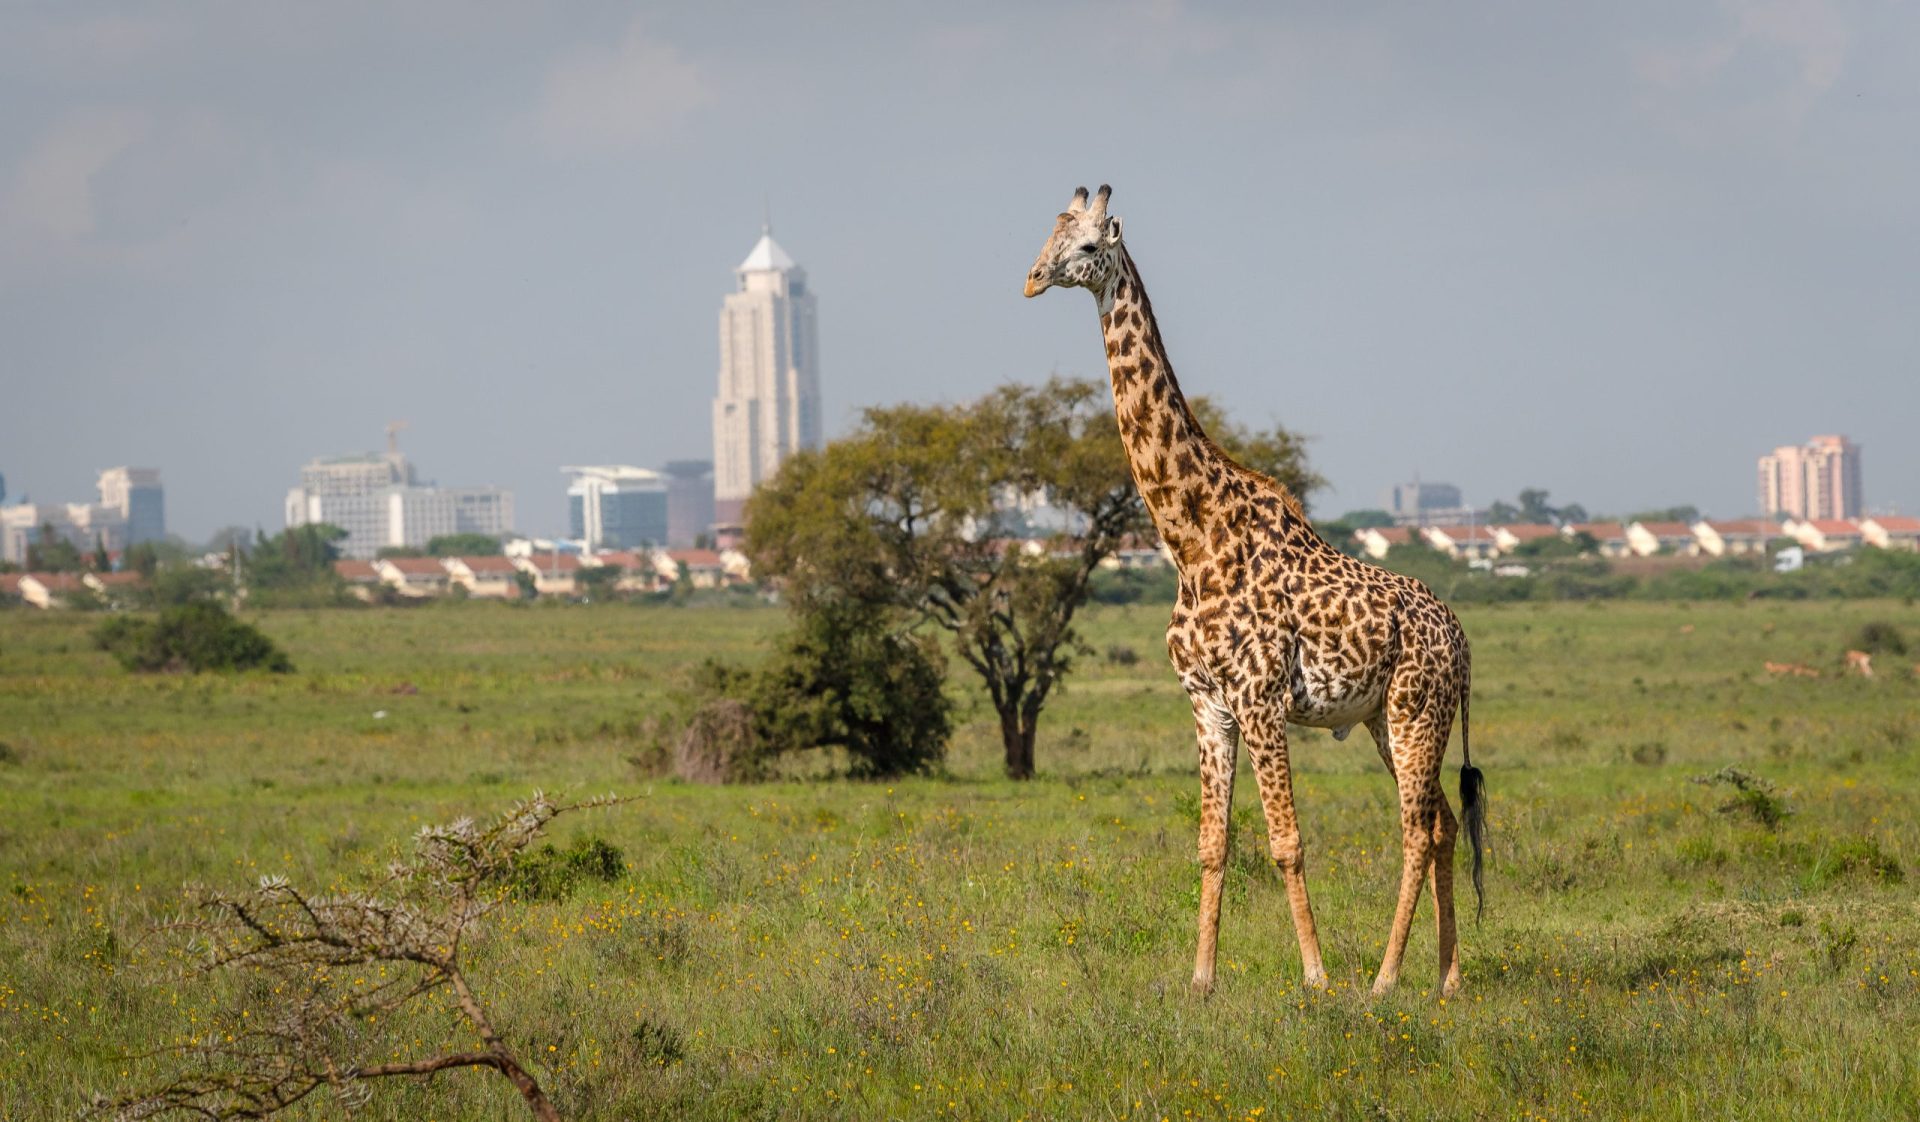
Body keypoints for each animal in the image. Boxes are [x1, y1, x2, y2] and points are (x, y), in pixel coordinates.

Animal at [1021, 184, 1482, 999]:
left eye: (1088, 247)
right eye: (1049, 234)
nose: (1033, 279)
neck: (1192, 536)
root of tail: (1460, 640)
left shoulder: (1260, 697)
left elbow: (1287, 841)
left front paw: (1316, 978)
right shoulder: (1208, 702)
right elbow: (1213, 842)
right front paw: (1201, 980)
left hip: (1415, 710)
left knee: (1416, 831)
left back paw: (1384, 980)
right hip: (1383, 718)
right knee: (1443, 825)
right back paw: (1447, 978)